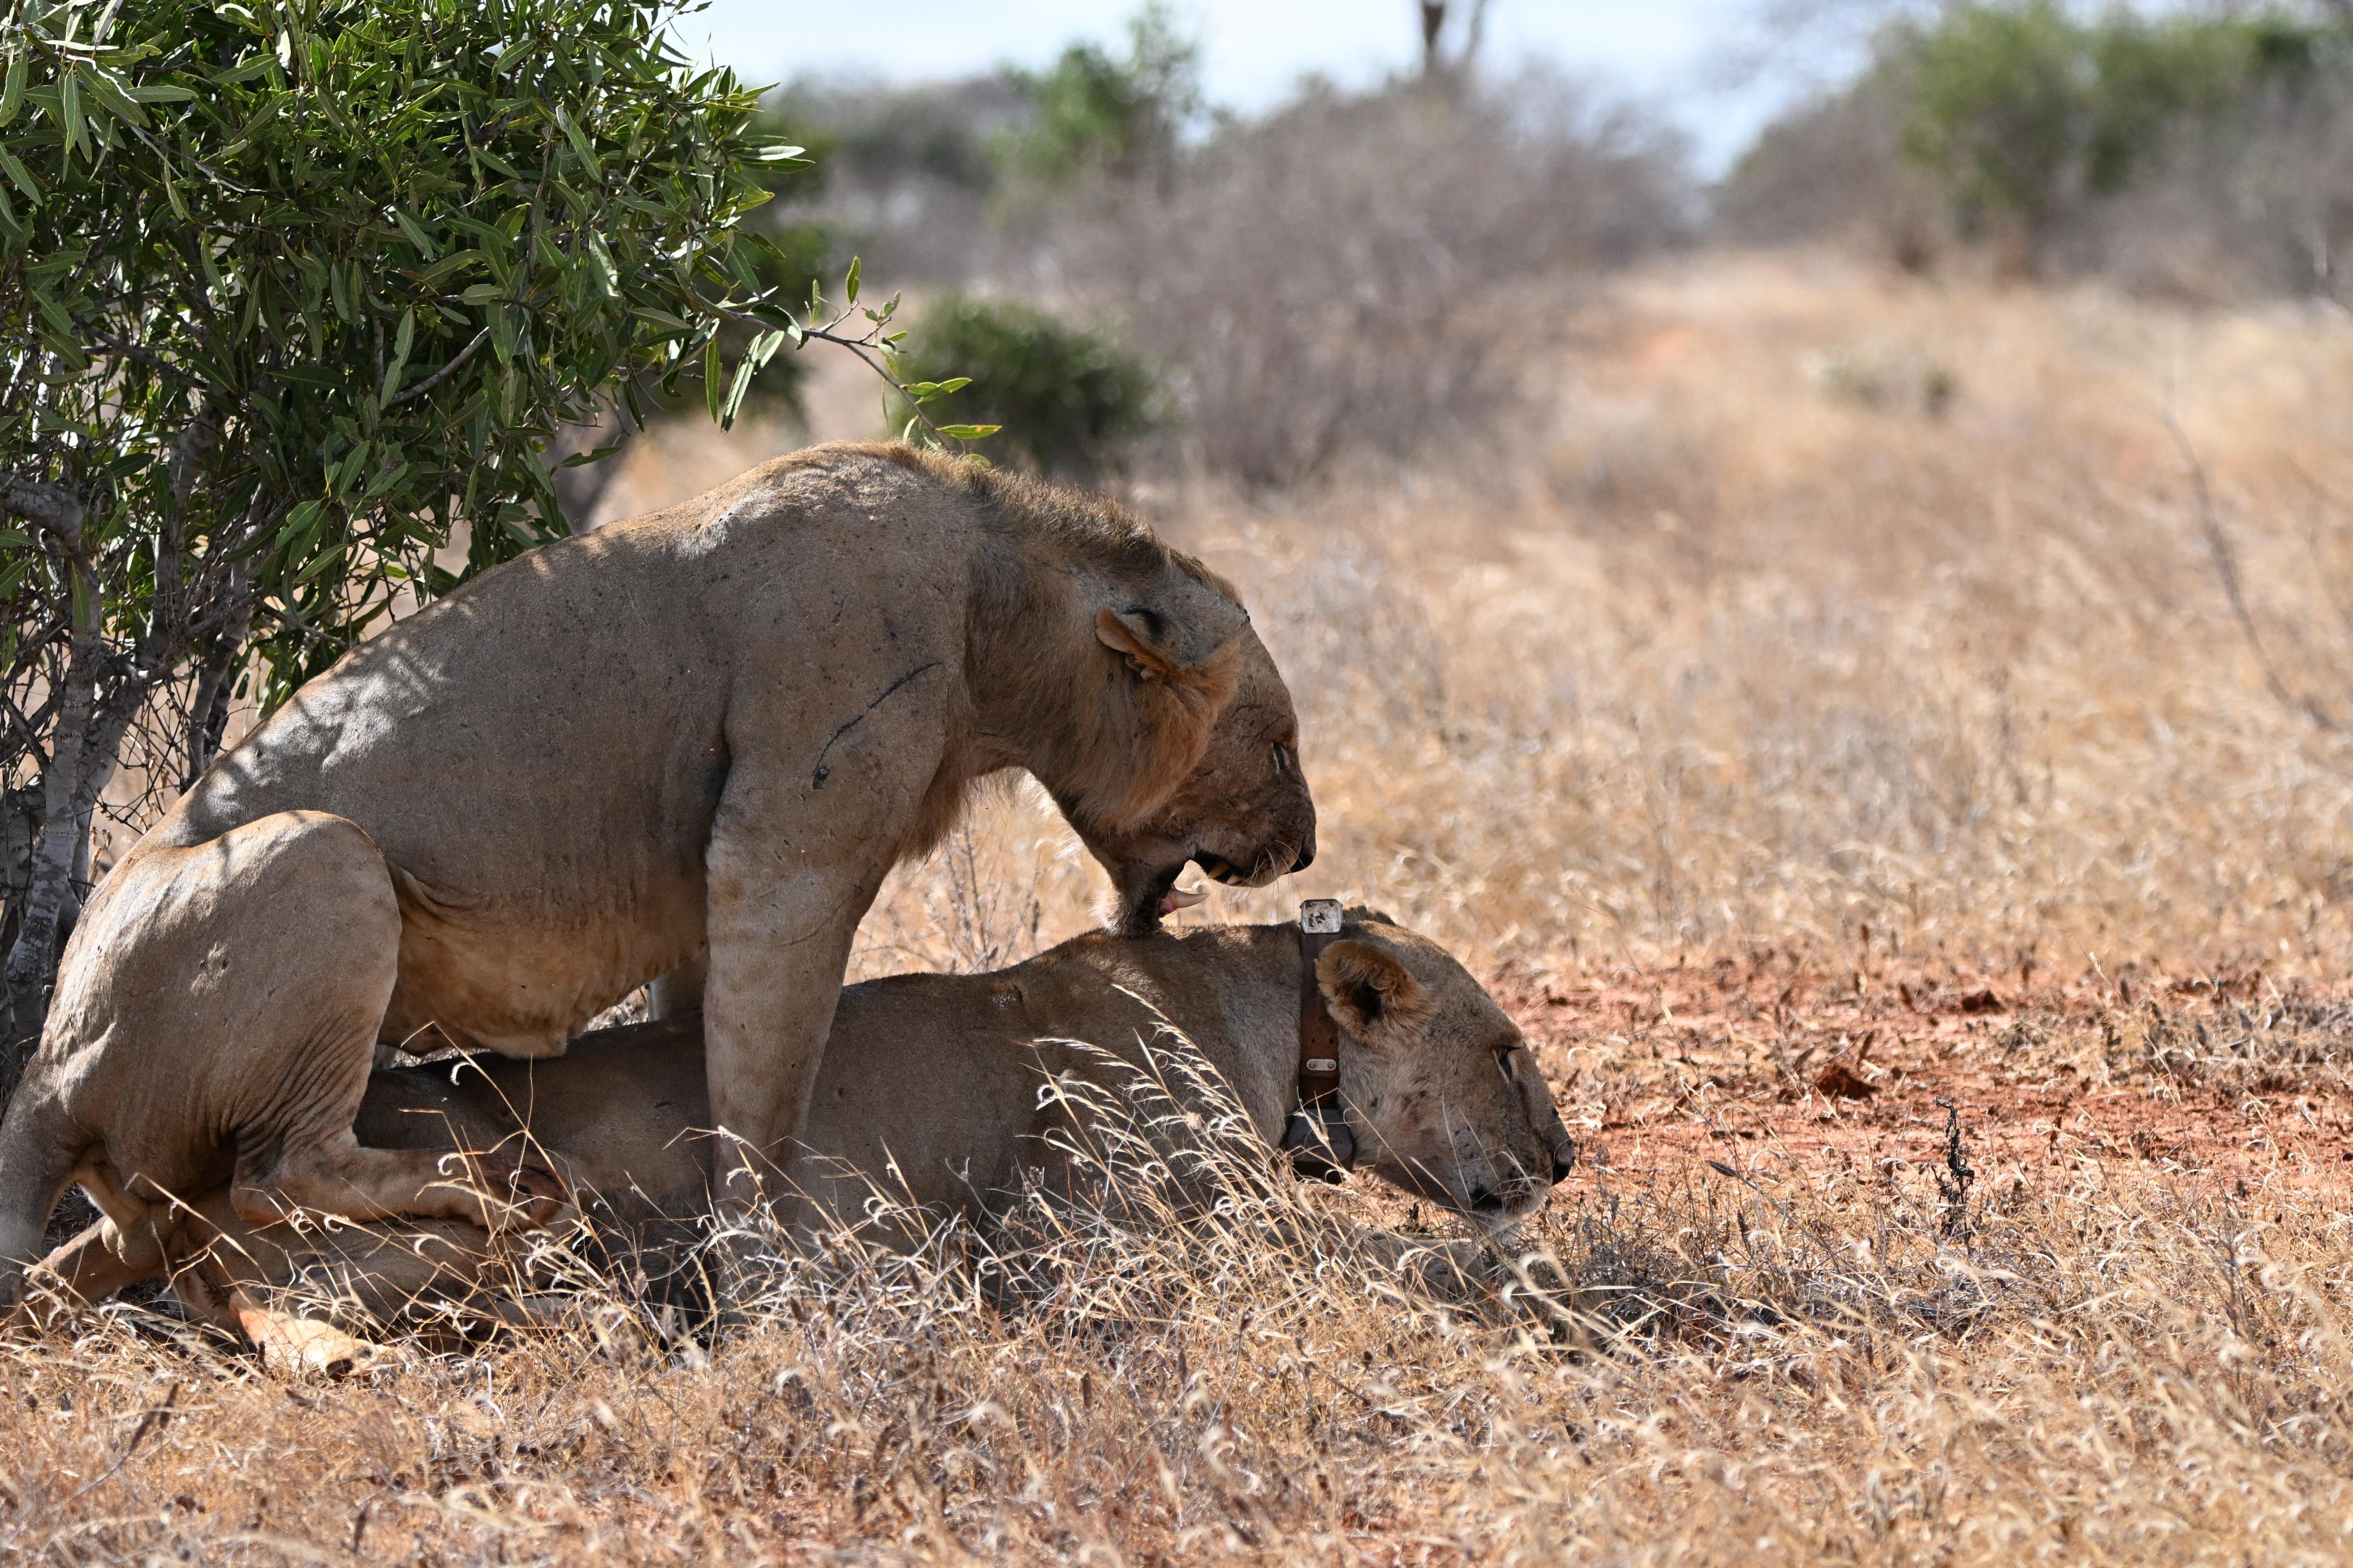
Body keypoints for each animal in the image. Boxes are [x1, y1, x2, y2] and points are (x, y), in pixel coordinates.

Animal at [0, 443, 1317, 1303]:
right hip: (323, 856)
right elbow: (766, 1105)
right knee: (281, 1171)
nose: (1305, 849)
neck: (1001, 610)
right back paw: (494, 1190)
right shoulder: (786, 857)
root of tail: (44, 1076)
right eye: (1281, 744)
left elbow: (704, 1055)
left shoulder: (709, 895)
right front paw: (769, 1267)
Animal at [21, 910, 1576, 1372]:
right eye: (1505, 1052)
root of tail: (184, 1203)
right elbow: (1361, 1268)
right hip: (492, 1192)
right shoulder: (1075, 1236)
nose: (1565, 1163)